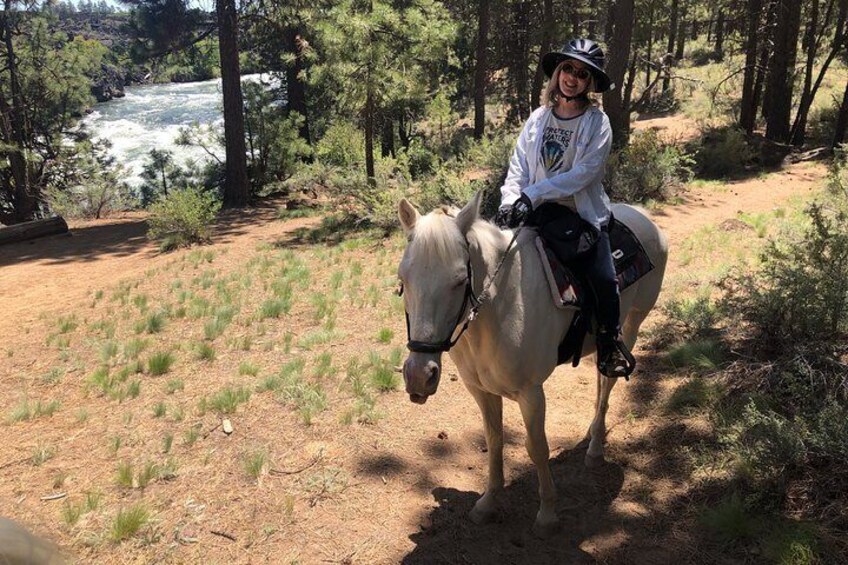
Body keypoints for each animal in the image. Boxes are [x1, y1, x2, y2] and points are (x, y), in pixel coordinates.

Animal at [398, 192, 668, 536]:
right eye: (402, 279)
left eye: (459, 281)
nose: (419, 376)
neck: (501, 308)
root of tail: (643, 216)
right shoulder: (481, 391)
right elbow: (494, 441)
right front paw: (488, 503)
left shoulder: (531, 393)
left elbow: (537, 448)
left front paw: (547, 515)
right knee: (600, 380)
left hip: (632, 323)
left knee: (609, 381)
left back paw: (595, 448)